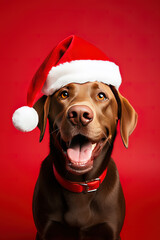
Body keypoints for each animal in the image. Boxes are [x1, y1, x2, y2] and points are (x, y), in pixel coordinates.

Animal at [32, 82, 138, 240]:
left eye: (101, 96)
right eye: (64, 94)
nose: (79, 115)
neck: (79, 185)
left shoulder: (112, 232)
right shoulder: (44, 231)